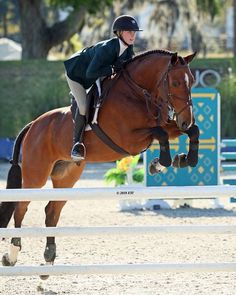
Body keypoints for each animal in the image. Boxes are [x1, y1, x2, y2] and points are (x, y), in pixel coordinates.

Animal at [0, 49, 199, 272]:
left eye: (191, 81)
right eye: (175, 83)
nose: (186, 119)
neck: (138, 92)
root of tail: (33, 124)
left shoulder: (164, 126)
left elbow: (191, 131)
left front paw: (183, 160)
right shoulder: (129, 139)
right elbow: (160, 134)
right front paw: (160, 163)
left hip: (66, 176)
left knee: (51, 211)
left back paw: (49, 255)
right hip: (36, 175)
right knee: (21, 207)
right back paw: (12, 255)